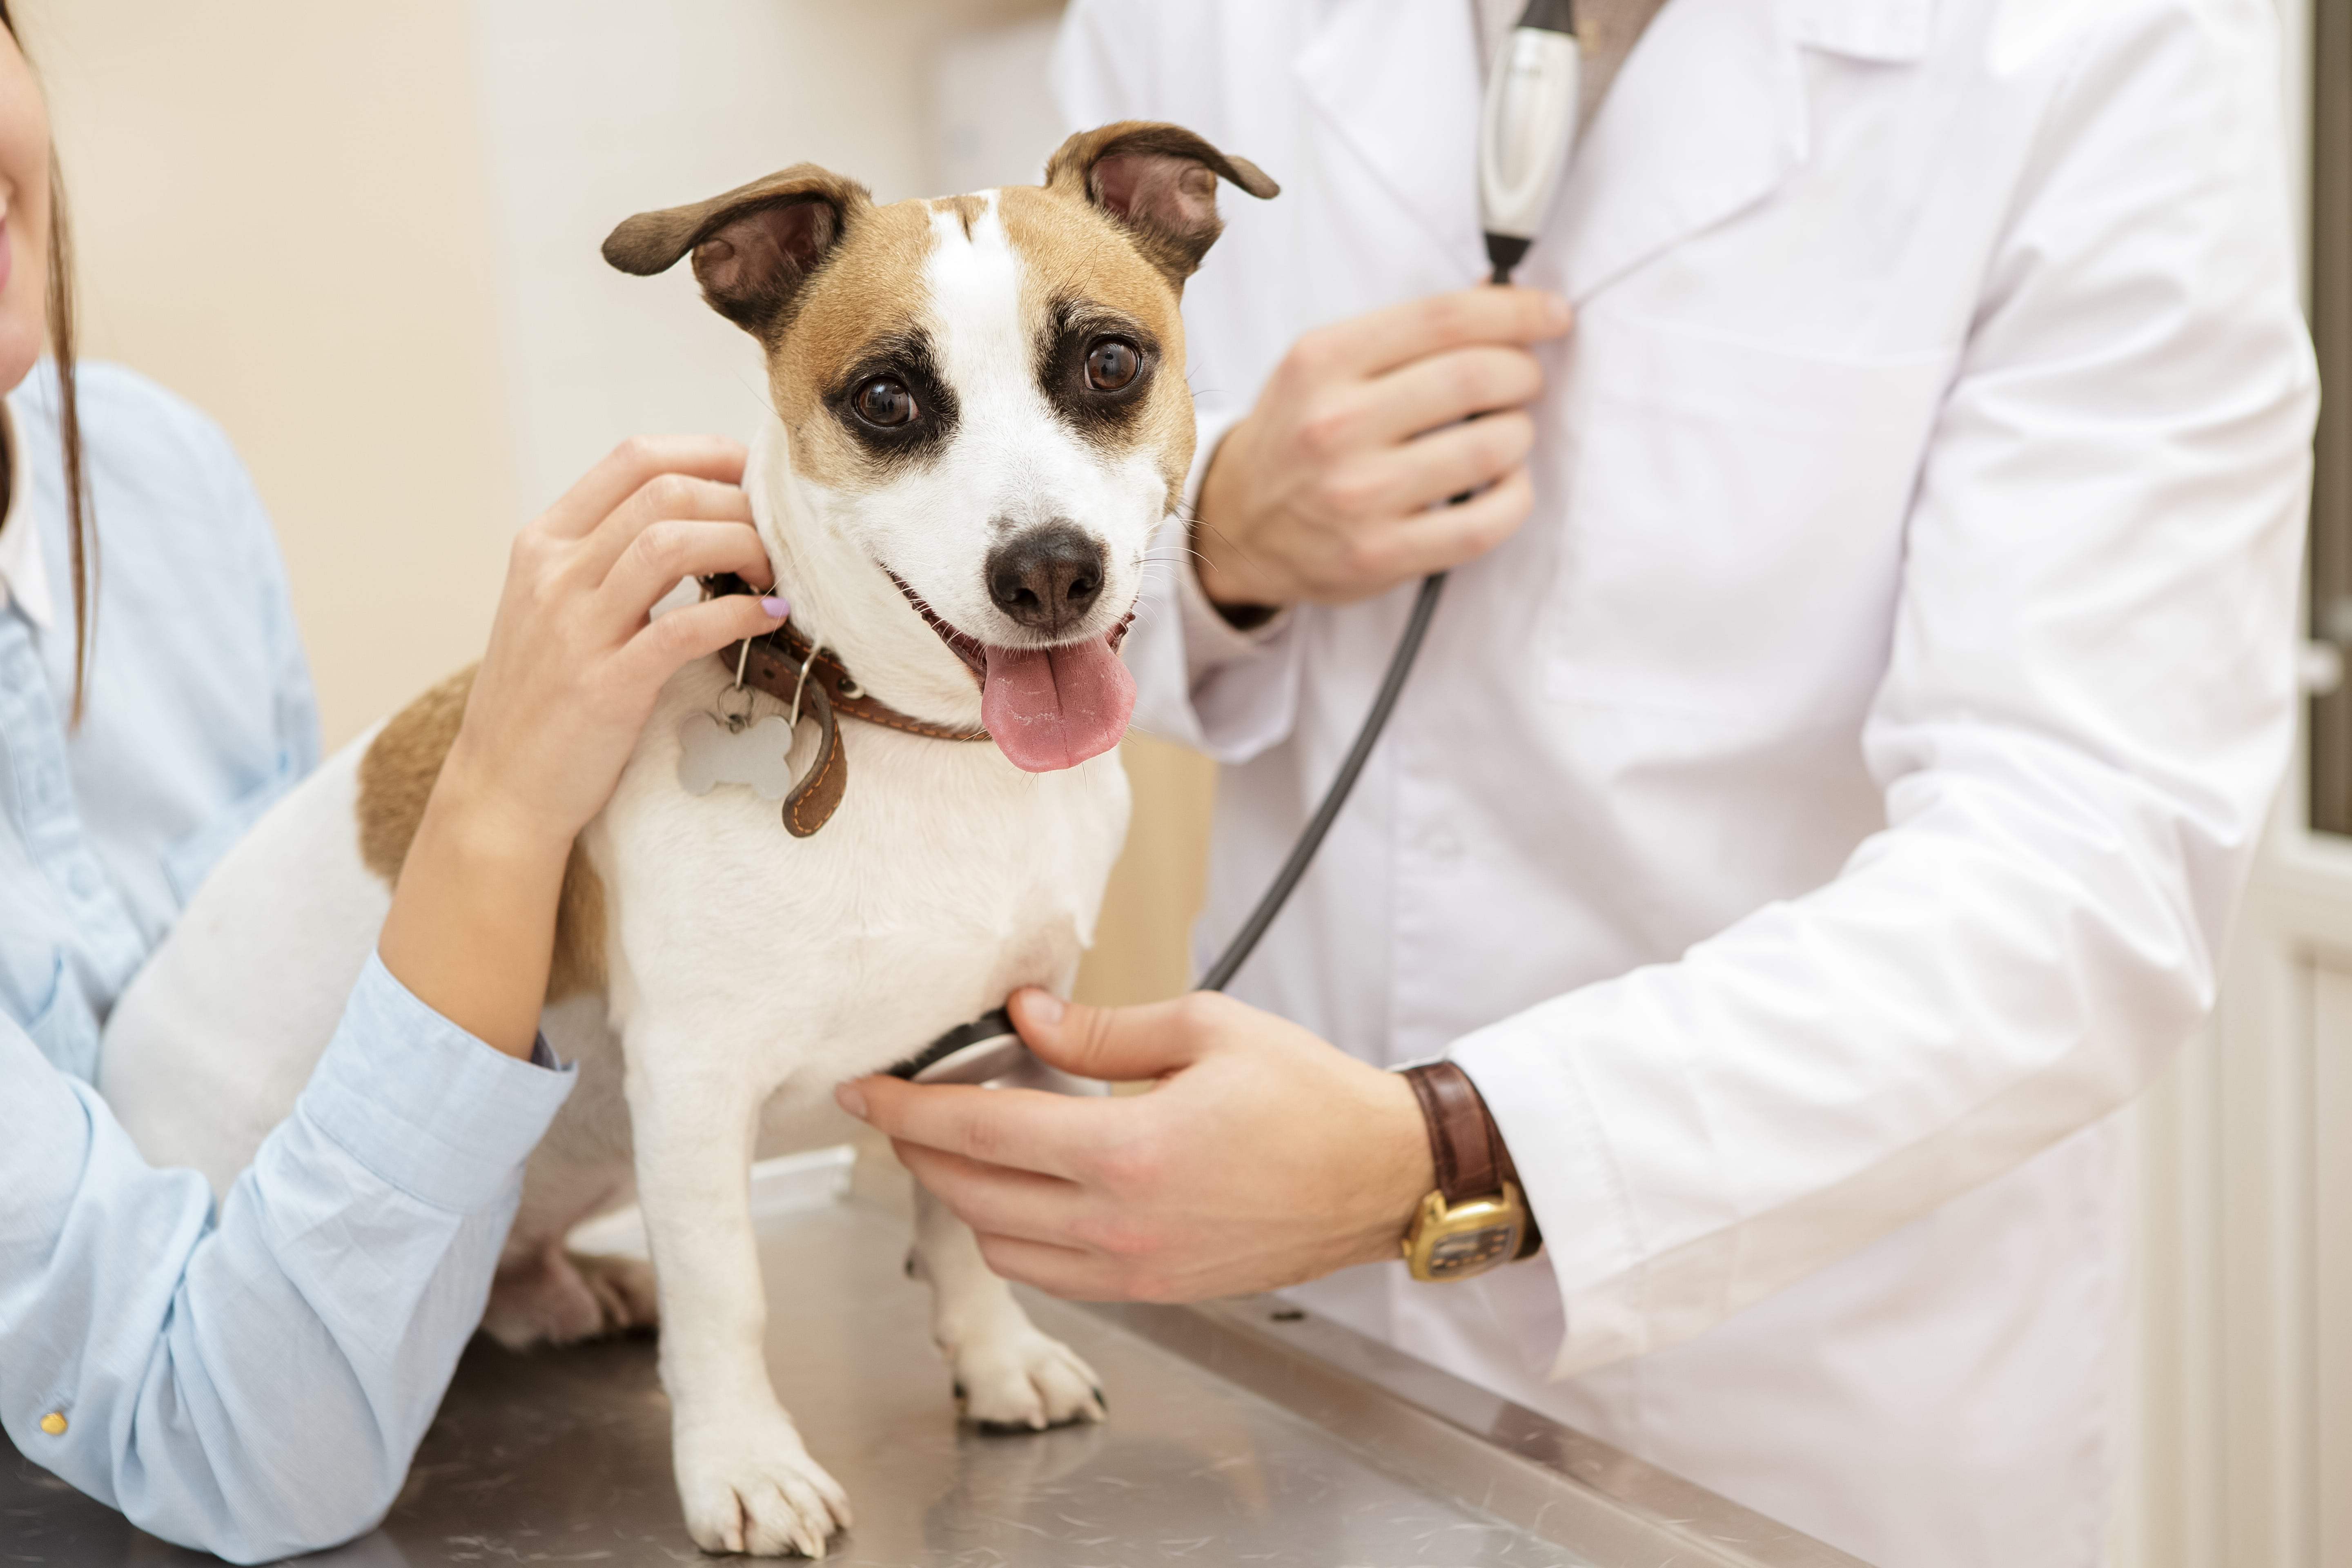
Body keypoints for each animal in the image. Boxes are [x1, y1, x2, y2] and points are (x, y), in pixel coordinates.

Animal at [96, 122, 1270, 1561]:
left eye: (1109, 362)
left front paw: (996, 1357)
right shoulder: (697, 1086)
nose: (1049, 570)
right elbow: (730, 1299)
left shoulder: (988, 1038)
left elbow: (960, 1222)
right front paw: (743, 1464)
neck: (914, 742)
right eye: (887, 399)